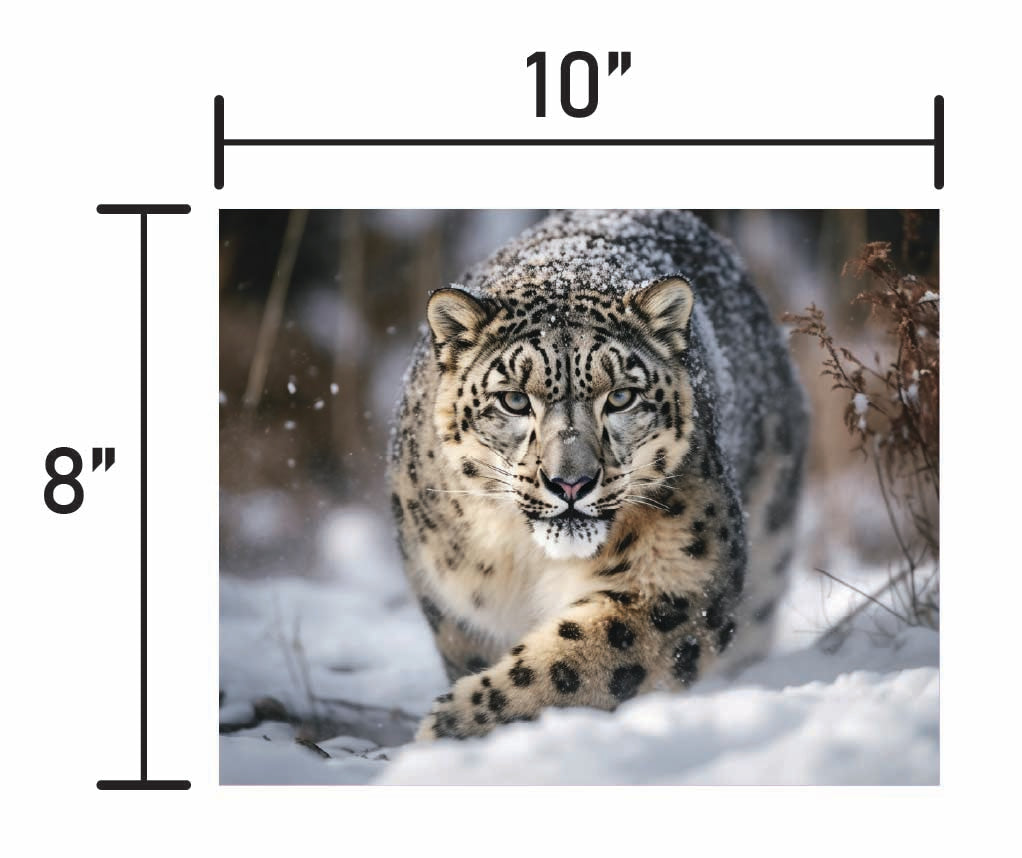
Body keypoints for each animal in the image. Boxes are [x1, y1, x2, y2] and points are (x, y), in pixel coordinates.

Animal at [387, 210, 808, 740]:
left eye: (621, 397)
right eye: (514, 399)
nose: (571, 482)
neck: (529, 563)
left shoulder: (678, 577)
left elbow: (578, 663)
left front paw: (454, 725)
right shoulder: (454, 602)